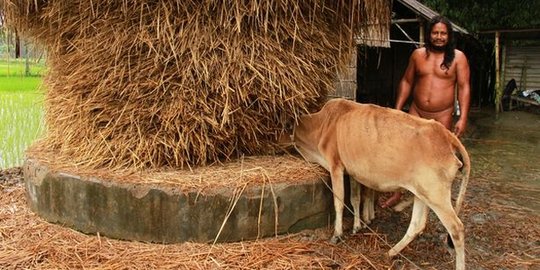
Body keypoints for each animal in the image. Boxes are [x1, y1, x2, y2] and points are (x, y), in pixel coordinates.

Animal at [294, 98, 470, 270]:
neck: (324, 123)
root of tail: (446, 134)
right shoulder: (352, 172)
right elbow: (355, 199)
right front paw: (357, 226)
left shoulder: (335, 165)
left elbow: (339, 202)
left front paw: (337, 234)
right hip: (422, 193)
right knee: (417, 224)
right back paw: (391, 252)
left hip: (436, 195)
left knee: (457, 229)